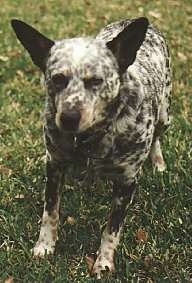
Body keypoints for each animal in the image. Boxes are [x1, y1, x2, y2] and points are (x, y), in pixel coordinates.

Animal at [10, 17, 171, 280]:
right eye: (58, 79)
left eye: (96, 80)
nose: (68, 118)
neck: (90, 138)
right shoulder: (54, 165)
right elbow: (50, 212)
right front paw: (45, 246)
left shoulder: (127, 181)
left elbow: (111, 230)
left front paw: (103, 262)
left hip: (165, 115)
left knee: (157, 137)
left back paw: (157, 162)